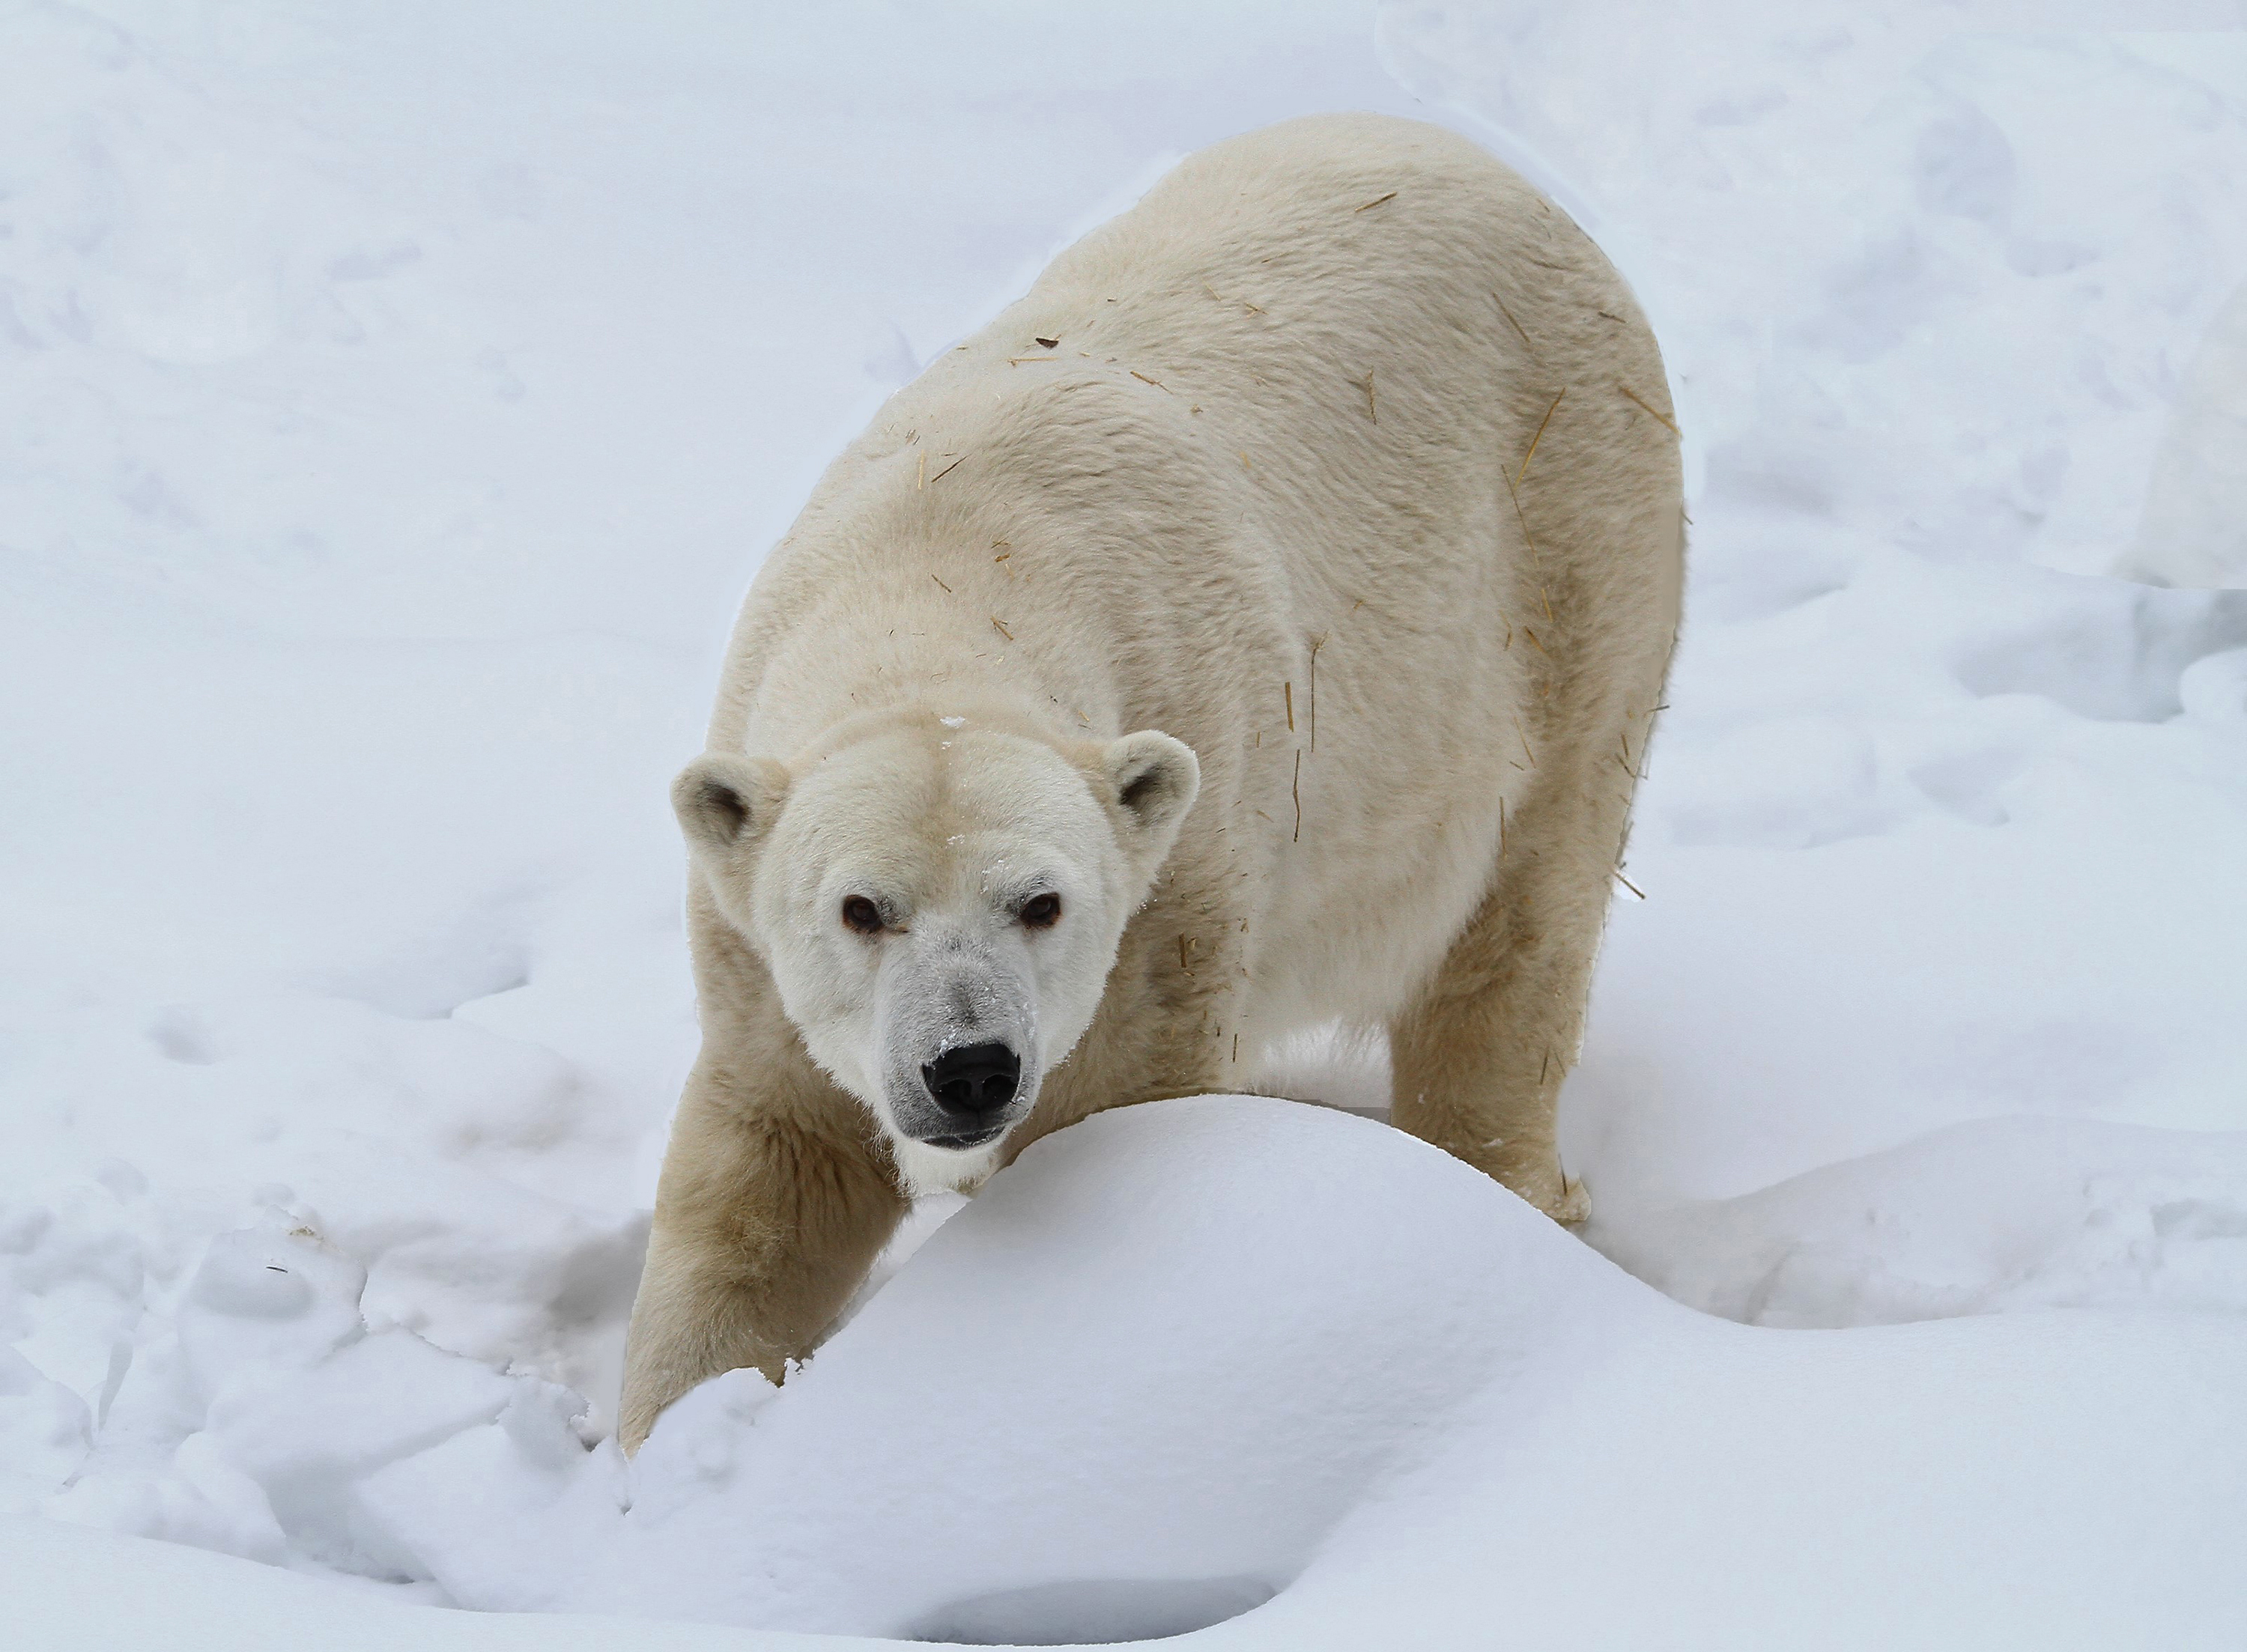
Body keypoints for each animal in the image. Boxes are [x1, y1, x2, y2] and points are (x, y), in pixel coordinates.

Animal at [619, 112, 1683, 1453]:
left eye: (1043, 902)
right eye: (861, 908)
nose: (970, 1069)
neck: (943, 574)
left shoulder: (1178, 864)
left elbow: (1118, 1121)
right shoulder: (753, 941)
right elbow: (772, 1176)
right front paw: (673, 1438)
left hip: (1570, 560)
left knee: (1516, 941)